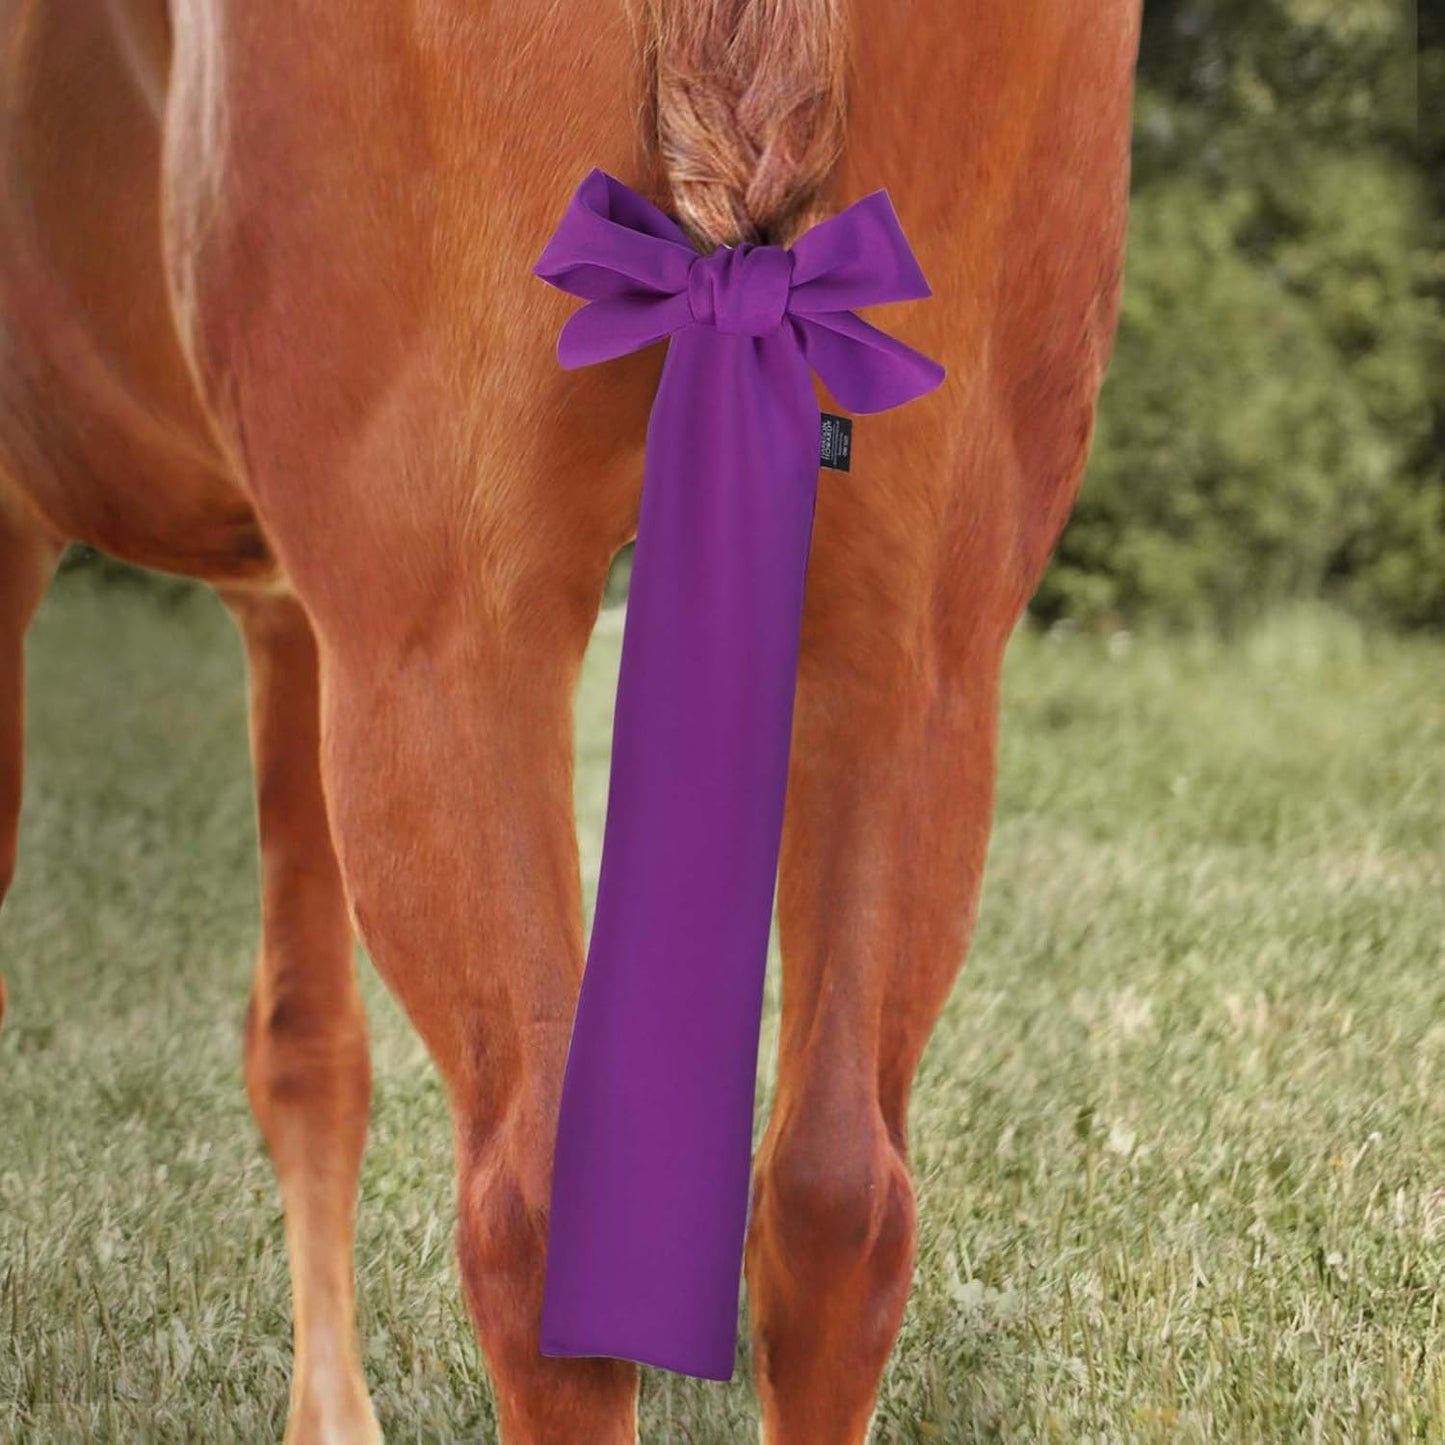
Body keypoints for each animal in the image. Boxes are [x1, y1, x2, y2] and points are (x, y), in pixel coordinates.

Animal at [0, 0, 1141, 1438]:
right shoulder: (286, 614)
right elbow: (308, 1046)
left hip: (444, 645)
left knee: (531, 1206)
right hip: (916, 651)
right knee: (838, 1198)